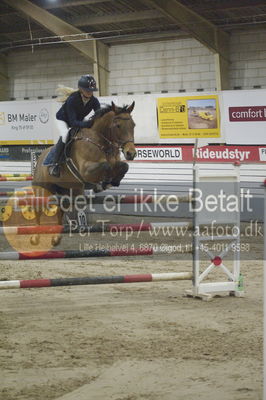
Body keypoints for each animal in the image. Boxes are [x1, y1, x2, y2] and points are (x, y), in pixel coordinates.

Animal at [30, 101, 136, 247]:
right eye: (118, 125)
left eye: (133, 125)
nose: (131, 153)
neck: (101, 143)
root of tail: (40, 158)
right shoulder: (86, 171)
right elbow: (106, 166)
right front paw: (103, 183)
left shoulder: (116, 163)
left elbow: (124, 166)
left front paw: (111, 182)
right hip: (42, 190)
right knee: (38, 211)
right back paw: (35, 237)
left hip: (68, 190)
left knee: (61, 210)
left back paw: (56, 239)